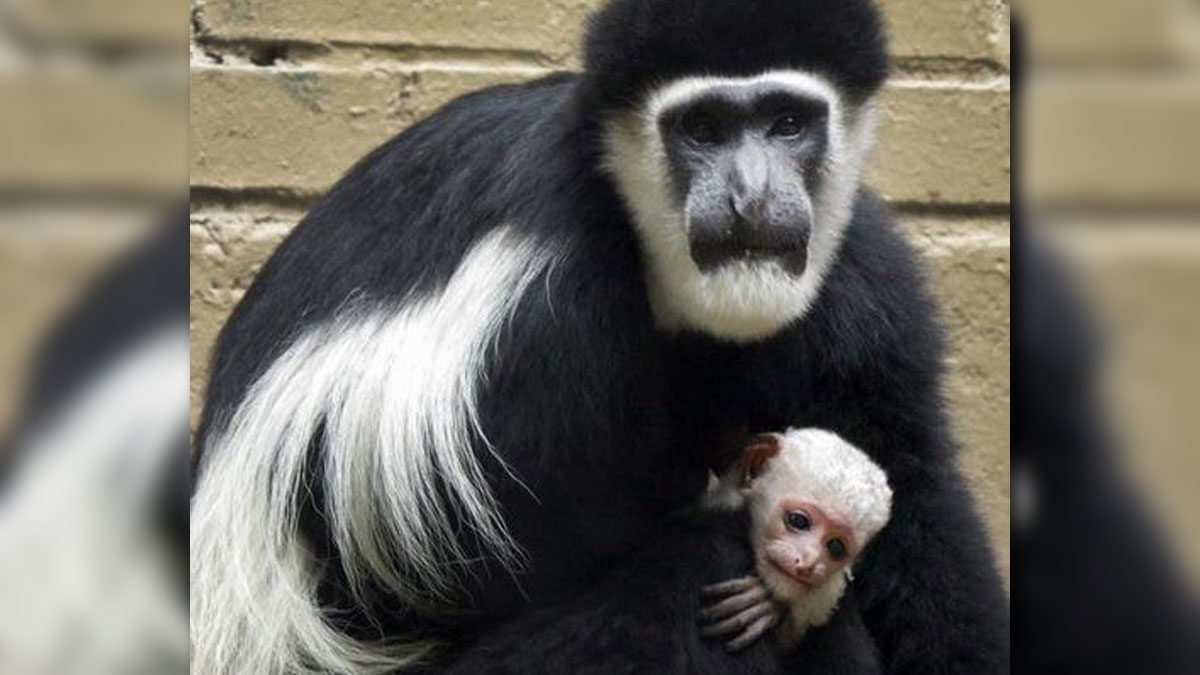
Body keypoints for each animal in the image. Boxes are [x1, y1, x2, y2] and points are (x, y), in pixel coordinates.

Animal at [190, 1, 1009, 673]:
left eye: (788, 122)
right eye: (701, 129)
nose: (750, 200)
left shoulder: (855, 277)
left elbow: (910, 481)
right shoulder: (543, 315)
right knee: (691, 568)